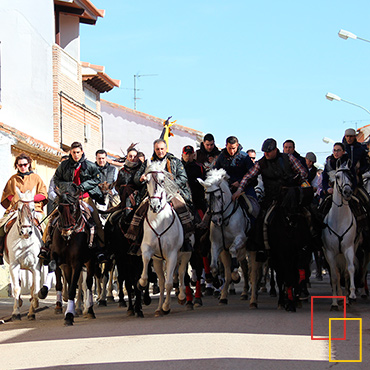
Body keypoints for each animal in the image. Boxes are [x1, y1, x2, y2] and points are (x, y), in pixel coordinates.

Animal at [3, 189, 42, 320]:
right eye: (19, 209)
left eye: (33, 208)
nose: (26, 231)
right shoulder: (14, 265)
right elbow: (16, 288)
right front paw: (16, 312)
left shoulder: (35, 267)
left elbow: (35, 289)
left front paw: (34, 306)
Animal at [137, 160, 192, 316]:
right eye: (146, 181)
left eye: (162, 180)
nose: (155, 206)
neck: (159, 220)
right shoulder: (148, 249)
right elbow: (145, 260)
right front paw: (142, 282)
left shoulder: (172, 254)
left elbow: (169, 283)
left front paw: (167, 306)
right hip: (158, 261)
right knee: (162, 282)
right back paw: (158, 309)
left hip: (185, 254)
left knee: (180, 273)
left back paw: (181, 297)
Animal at [198, 168, 258, 306]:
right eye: (206, 198)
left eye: (219, 196)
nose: (216, 220)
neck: (225, 218)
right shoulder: (216, 245)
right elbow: (214, 267)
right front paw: (216, 282)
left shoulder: (241, 238)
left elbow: (232, 252)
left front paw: (236, 275)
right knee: (236, 270)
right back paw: (226, 296)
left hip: (252, 250)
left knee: (252, 272)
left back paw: (253, 298)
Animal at [322, 162, 360, 310]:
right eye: (337, 177)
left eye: (350, 175)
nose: (347, 192)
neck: (339, 219)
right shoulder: (330, 252)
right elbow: (334, 276)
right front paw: (334, 302)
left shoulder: (349, 248)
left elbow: (350, 269)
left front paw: (352, 295)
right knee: (337, 274)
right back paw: (338, 297)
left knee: (344, 272)